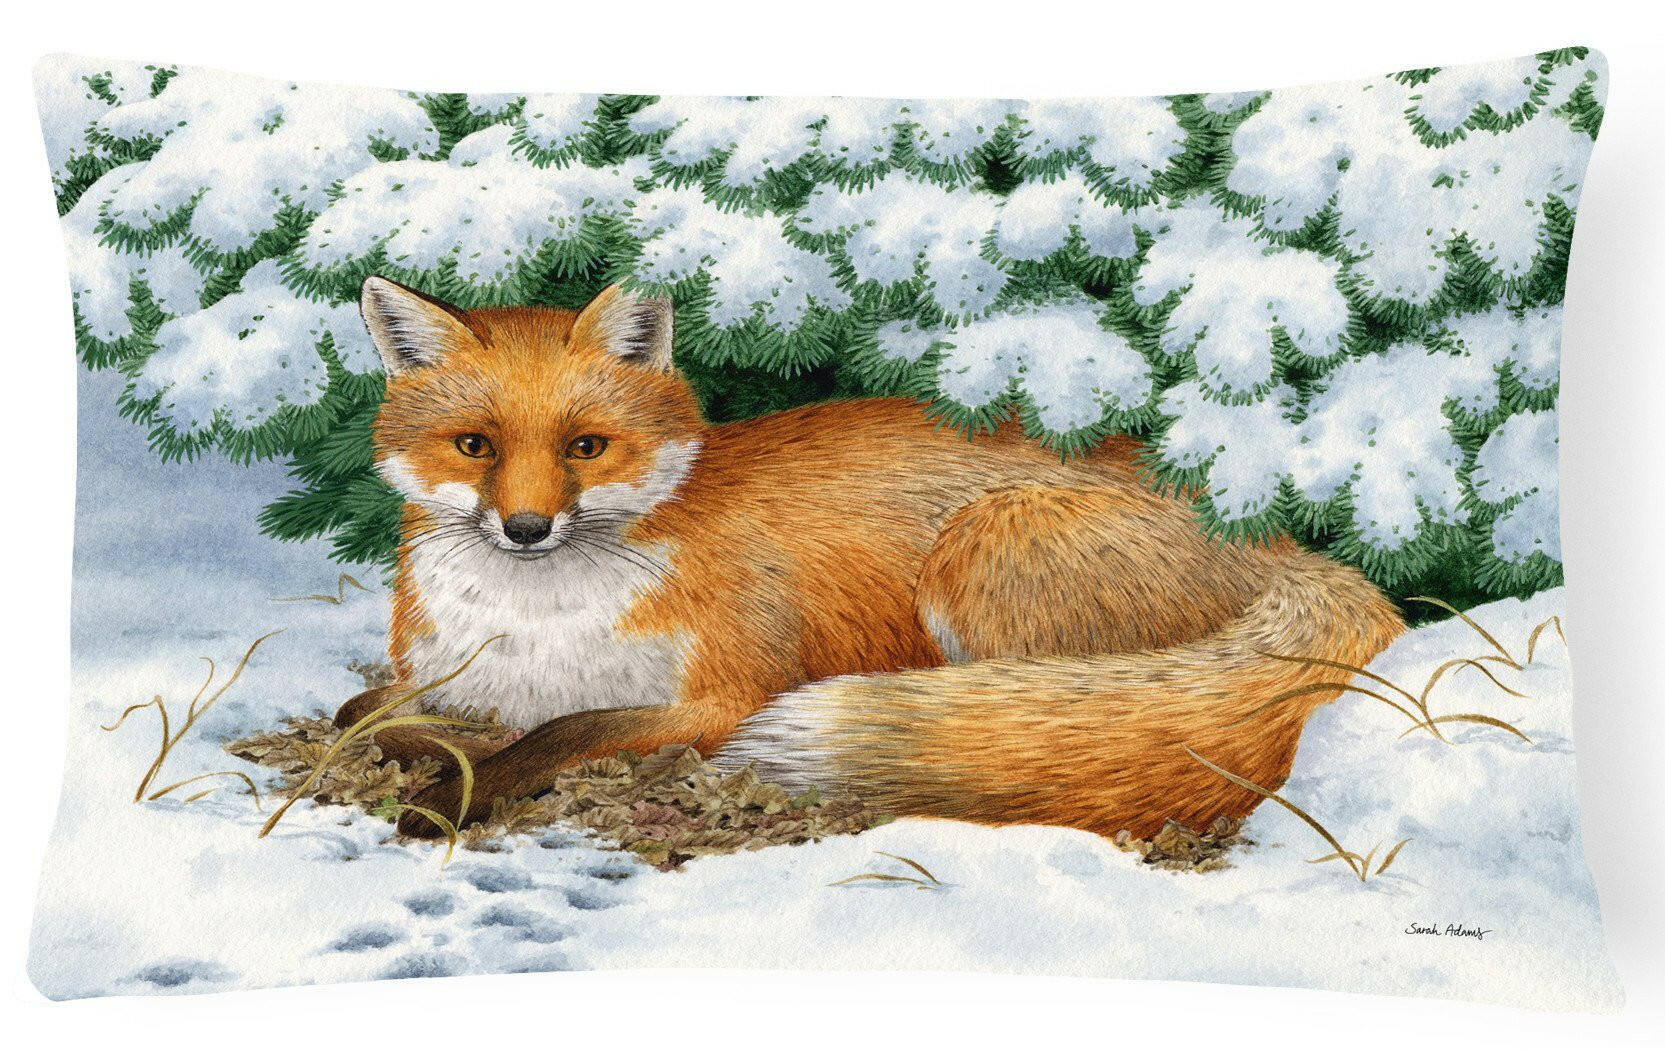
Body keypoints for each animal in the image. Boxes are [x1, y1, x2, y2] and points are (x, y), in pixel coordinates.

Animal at [337, 276, 1405, 841]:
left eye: (586, 448)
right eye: (474, 447)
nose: (525, 528)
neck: (534, 627)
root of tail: (1265, 532)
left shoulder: (725, 701)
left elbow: (561, 734)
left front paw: (449, 799)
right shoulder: (440, 677)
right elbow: (366, 717)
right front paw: (436, 756)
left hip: (983, 549)